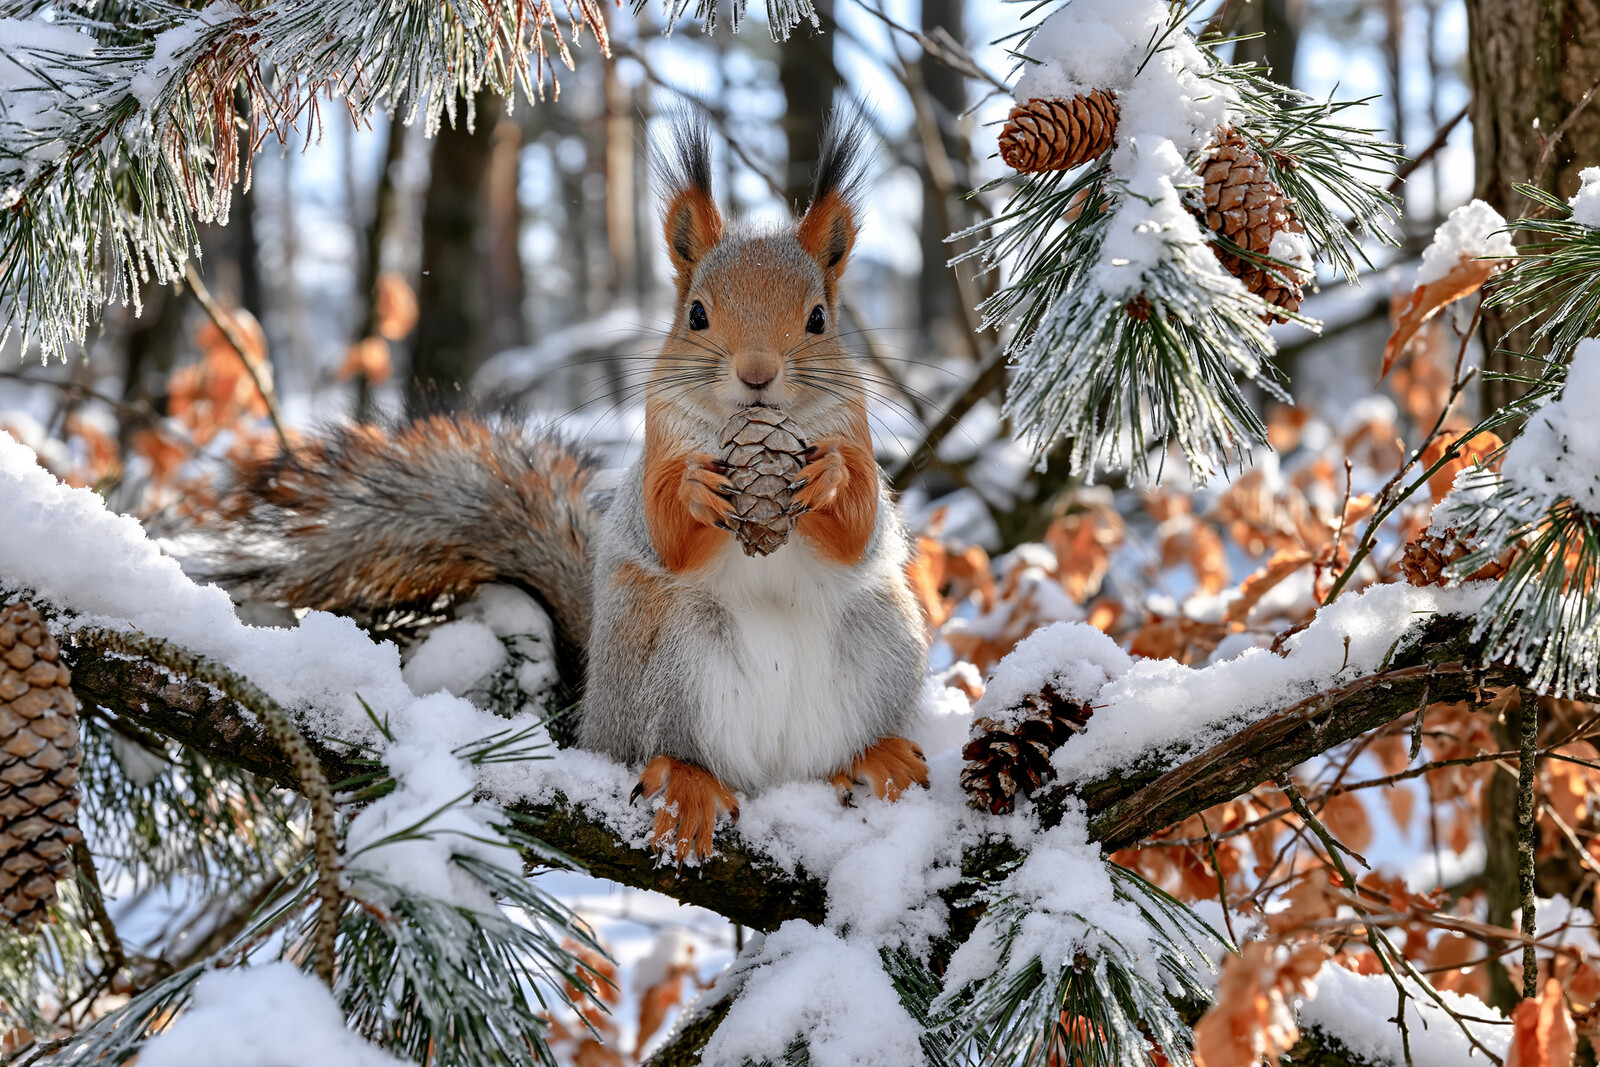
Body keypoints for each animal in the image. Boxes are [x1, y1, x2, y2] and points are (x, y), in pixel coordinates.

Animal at [209, 112, 930, 864]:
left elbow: (861, 531)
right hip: (667, 663)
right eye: (696, 315)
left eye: (819, 319)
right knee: (674, 744)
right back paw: (689, 781)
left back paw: (875, 757)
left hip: (882, 637)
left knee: (838, 746)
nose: (757, 374)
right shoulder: (654, 457)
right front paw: (695, 490)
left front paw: (831, 477)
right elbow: (664, 533)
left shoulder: (856, 440)